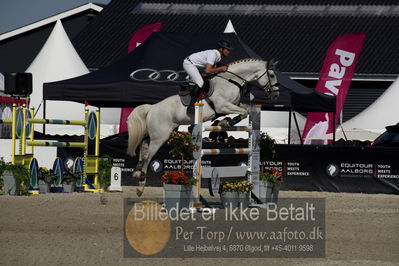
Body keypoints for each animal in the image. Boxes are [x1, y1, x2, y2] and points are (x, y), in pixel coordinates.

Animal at [126, 58, 280, 195]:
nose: (276, 95)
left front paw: (225, 122)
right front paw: (227, 122)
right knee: (148, 157)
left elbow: (246, 109)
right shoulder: (222, 105)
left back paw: (136, 173)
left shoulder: (231, 105)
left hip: (156, 133)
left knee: (143, 147)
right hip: (160, 137)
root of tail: (152, 108)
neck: (231, 81)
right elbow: (243, 112)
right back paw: (140, 187)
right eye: (272, 75)